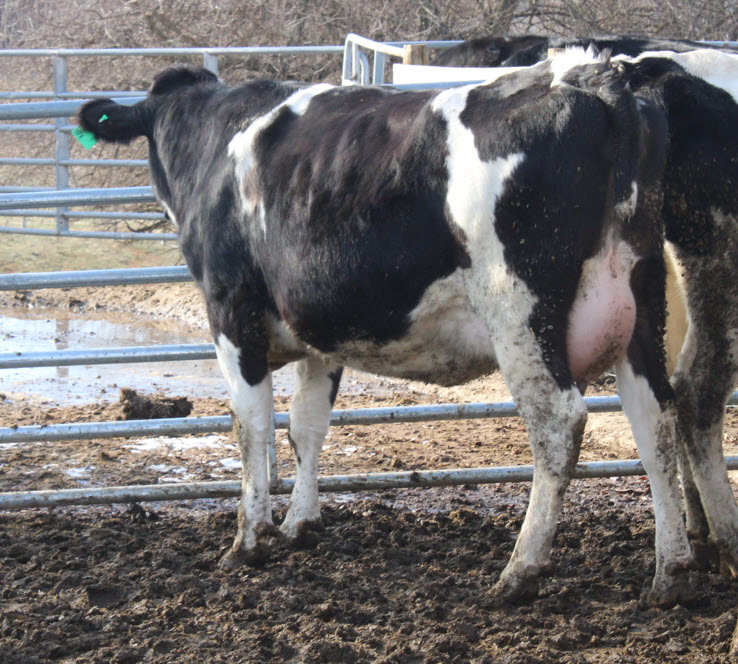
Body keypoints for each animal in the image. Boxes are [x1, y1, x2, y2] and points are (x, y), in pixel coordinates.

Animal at [78, 50, 692, 605]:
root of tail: (590, 75)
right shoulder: (319, 336)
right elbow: (305, 426)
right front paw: (300, 525)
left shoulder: (231, 313)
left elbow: (250, 427)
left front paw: (248, 541)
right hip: (642, 305)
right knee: (656, 419)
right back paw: (672, 572)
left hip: (520, 312)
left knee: (559, 424)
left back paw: (518, 574)